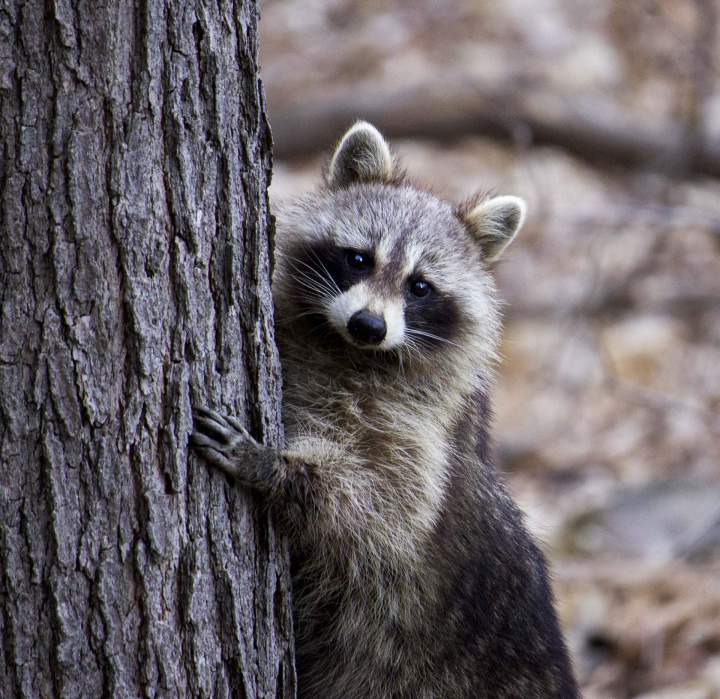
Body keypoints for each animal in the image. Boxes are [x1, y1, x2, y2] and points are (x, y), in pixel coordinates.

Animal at [191, 122, 579, 698]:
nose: (369, 325)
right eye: (359, 259)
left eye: (419, 285)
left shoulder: (424, 433)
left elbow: (382, 507)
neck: (347, 352)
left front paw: (278, 469)